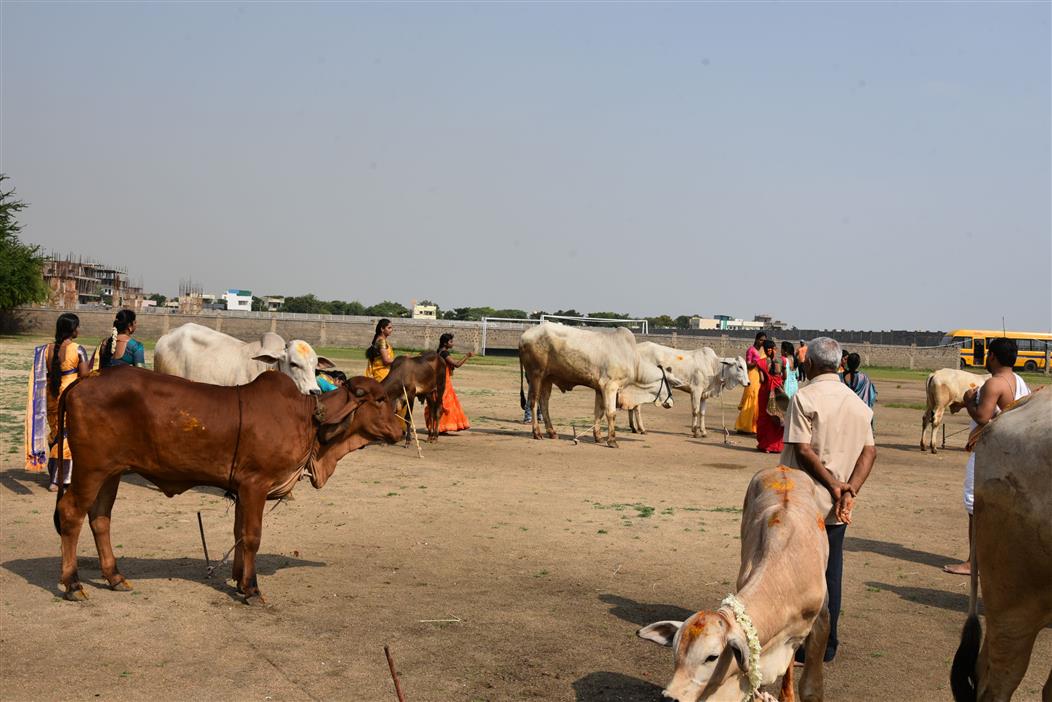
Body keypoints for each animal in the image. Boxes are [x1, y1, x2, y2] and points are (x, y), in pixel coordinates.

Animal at [53, 368, 406, 606]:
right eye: (380, 399)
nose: (401, 432)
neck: (308, 420)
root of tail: (86, 379)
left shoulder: (242, 490)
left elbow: (238, 534)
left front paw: (238, 580)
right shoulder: (255, 485)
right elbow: (251, 537)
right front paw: (251, 589)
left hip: (111, 473)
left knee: (100, 518)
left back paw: (114, 577)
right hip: (91, 469)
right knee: (71, 514)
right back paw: (72, 584)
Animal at [517, 322, 681, 448]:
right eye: (671, 385)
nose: (672, 402)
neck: (634, 361)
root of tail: (524, 336)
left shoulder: (599, 389)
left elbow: (599, 413)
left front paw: (598, 437)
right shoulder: (610, 387)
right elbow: (611, 413)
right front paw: (612, 440)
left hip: (548, 379)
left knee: (544, 403)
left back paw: (552, 432)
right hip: (536, 375)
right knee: (533, 402)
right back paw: (537, 433)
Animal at [635, 467, 833, 702]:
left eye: (711, 657)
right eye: (676, 653)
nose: (670, 697)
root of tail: (783, 468)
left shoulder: (822, 619)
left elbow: (811, 688)